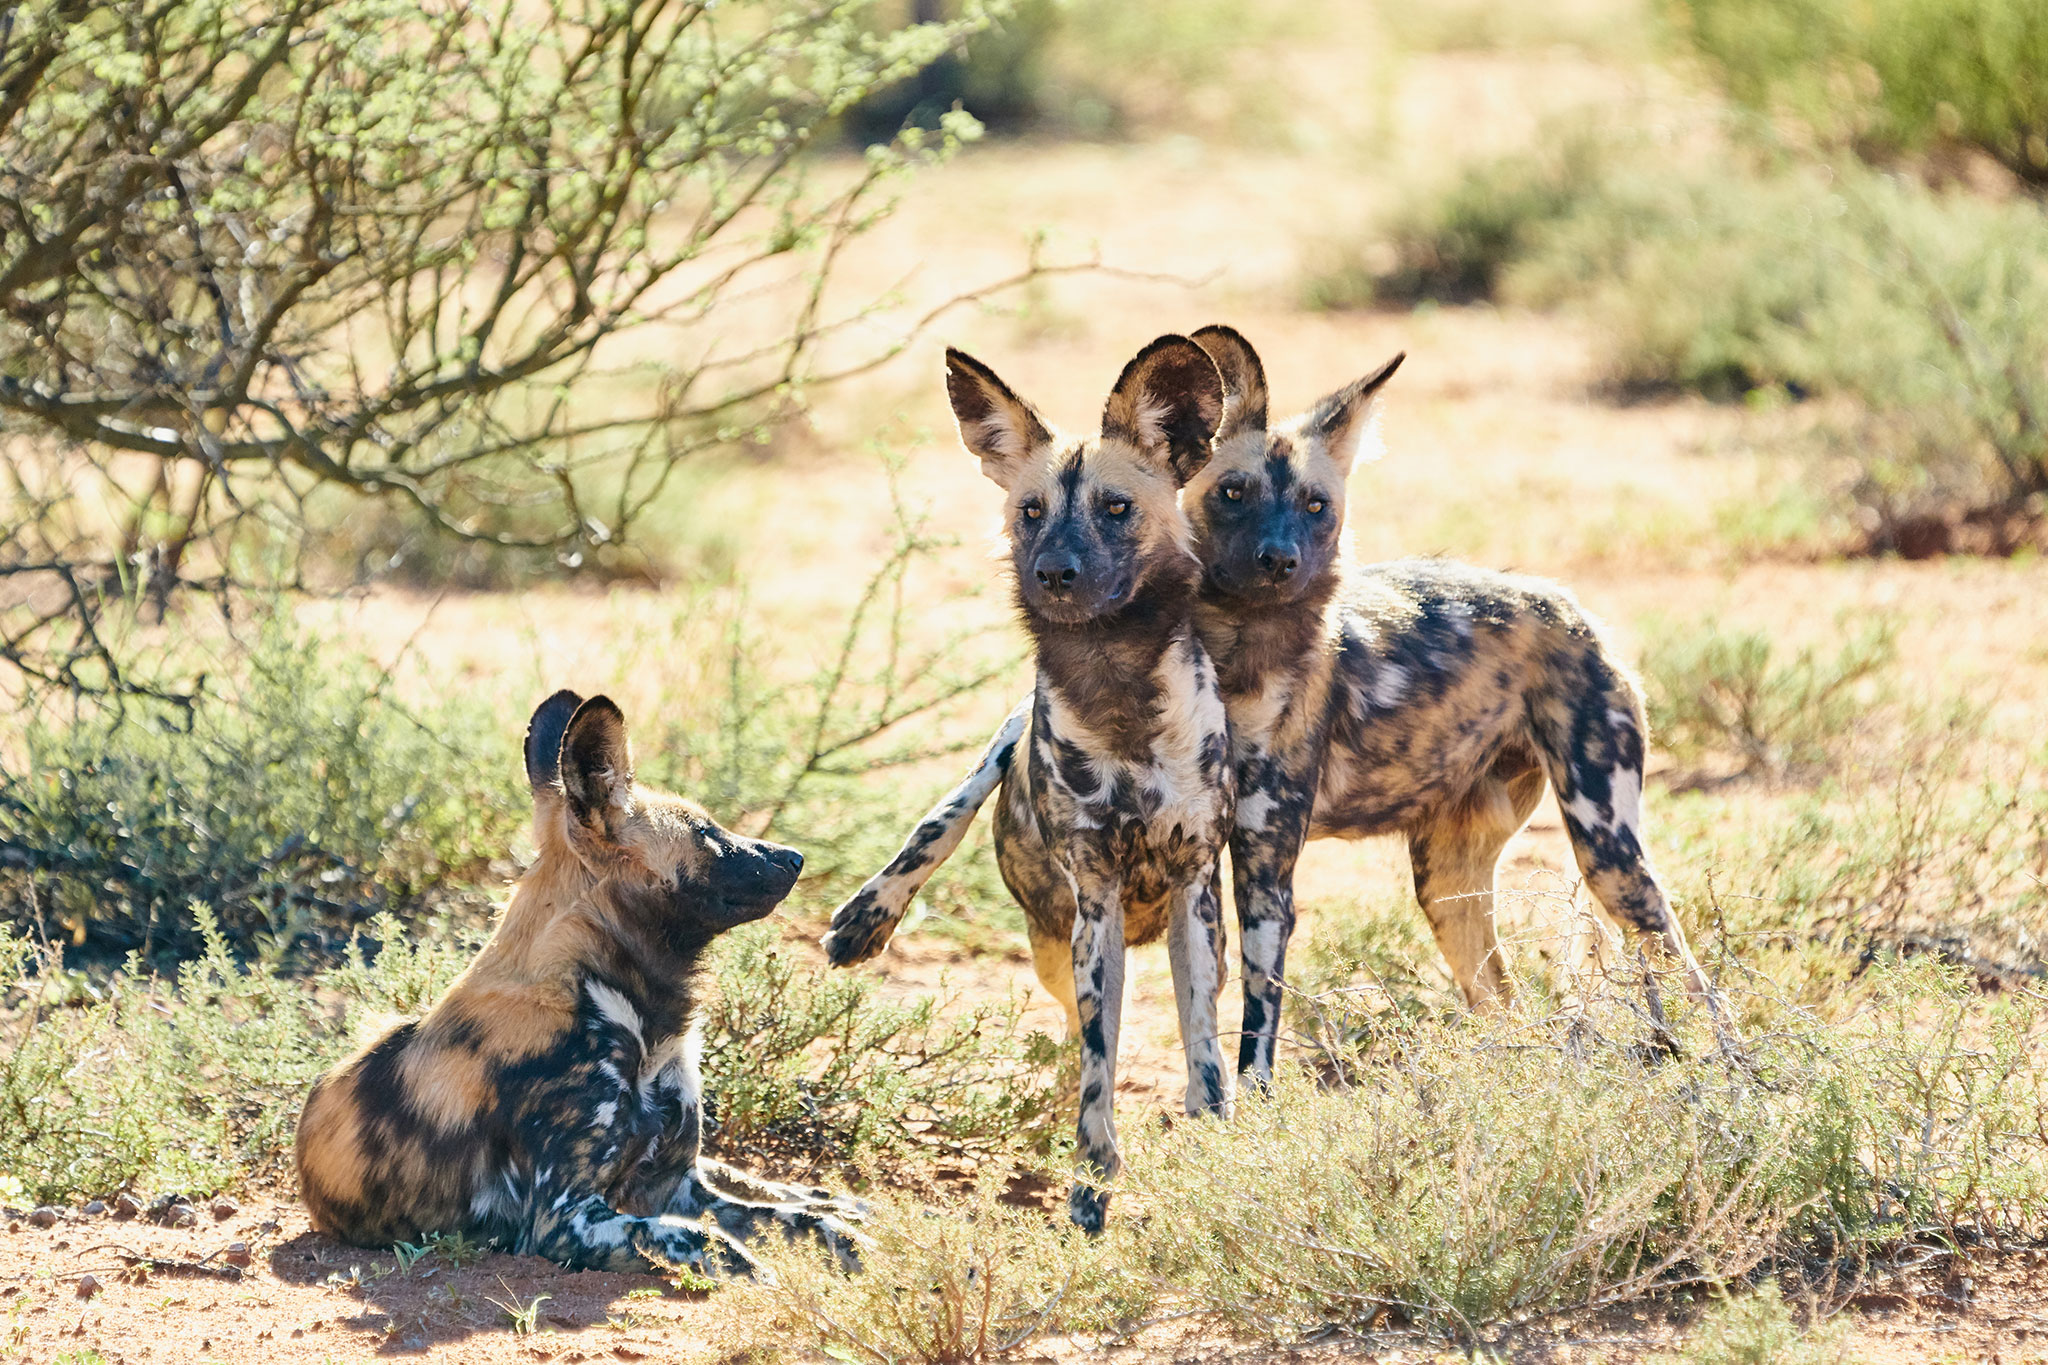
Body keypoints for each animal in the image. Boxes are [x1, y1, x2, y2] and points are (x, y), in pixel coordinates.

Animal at [294, 695, 856, 1285]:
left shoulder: (675, 1182)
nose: (795, 857)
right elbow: (710, 1240)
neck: (634, 1017)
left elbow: (797, 1222)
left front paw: (850, 1243)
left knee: (761, 1184)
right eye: (707, 834)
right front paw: (767, 1279)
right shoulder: (563, 1219)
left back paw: (836, 1199)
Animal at [815, 335, 1228, 1236]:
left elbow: (1205, 1048)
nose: (1054, 572)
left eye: (1116, 507)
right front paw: (1091, 1180)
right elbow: (1100, 1060)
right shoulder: (1095, 900)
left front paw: (1225, 1143)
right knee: (954, 820)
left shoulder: (1193, 886)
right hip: (1052, 918)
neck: (1117, 689)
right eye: (1031, 511)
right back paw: (868, 915)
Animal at [1187, 323, 1728, 1080]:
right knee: (1507, 1003)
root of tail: (1570, 608)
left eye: (1316, 505)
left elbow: (1256, 1024)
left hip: (1609, 855)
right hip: (1450, 886)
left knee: (1697, 980)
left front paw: (1250, 1105)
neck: (1237, 657)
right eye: (1233, 492)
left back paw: (1740, 1079)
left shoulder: (1267, 866)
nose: (1280, 560)